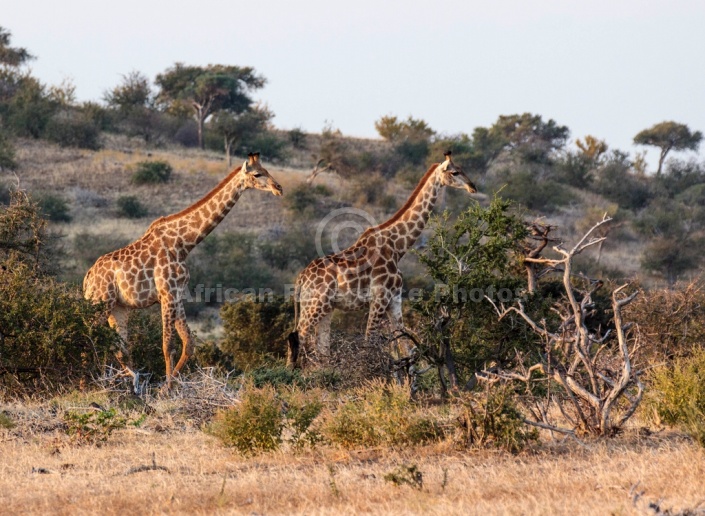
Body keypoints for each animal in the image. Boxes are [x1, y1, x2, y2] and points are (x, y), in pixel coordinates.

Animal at [86, 151, 284, 390]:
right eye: (257, 174)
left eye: (266, 170)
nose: (279, 188)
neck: (183, 244)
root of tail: (87, 278)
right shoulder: (167, 293)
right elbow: (168, 344)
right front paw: (167, 389)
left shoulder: (177, 293)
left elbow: (188, 342)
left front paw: (170, 386)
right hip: (101, 302)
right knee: (88, 334)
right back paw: (87, 383)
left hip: (118, 308)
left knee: (120, 348)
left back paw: (131, 384)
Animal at [288, 151, 478, 368]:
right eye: (455, 172)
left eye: (462, 169)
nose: (473, 187)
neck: (397, 247)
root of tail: (301, 278)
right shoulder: (379, 297)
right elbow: (369, 342)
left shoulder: (394, 300)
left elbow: (405, 345)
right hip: (315, 305)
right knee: (298, 338)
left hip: (325, 308)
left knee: (320, 347)